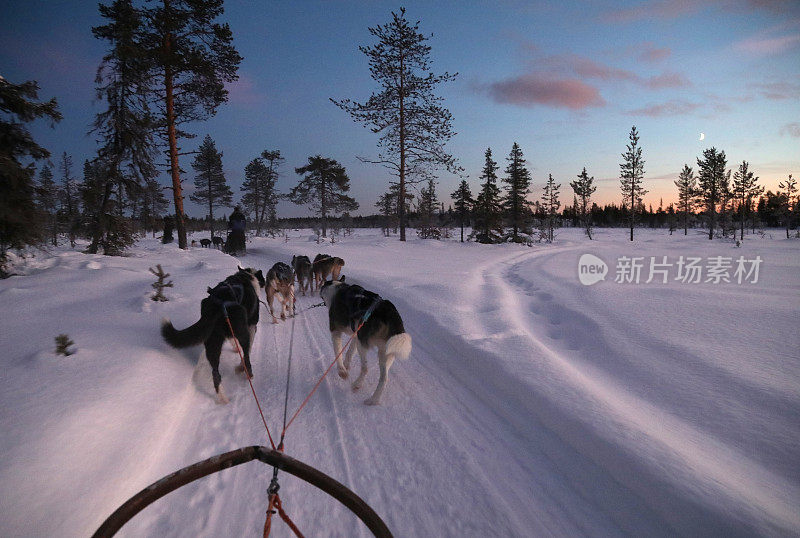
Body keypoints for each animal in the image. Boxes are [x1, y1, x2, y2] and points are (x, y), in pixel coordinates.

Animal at [160, 266, 266, 400]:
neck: (245, 275)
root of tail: (216, 305)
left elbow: (232, 340)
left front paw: (235, 348)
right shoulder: (251, 326)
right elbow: (248, 348)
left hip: (212, 342)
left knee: (215, 373)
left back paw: (222, 398)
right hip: (240, 334)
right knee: (246, 356)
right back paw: (246, 373)